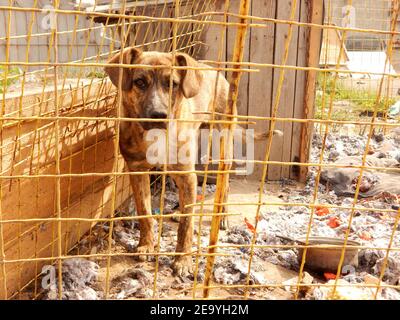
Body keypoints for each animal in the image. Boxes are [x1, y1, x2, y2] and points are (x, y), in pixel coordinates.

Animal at [104, 47, 231, 276]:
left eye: (172, 83)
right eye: (139, 82)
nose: (158, 115)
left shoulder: (187, 175)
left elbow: (187, 225)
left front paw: (182, 259)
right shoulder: (137, 171)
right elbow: (144, 212)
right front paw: (146, 244)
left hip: (223, 143)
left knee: (225, 182)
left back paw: (223, 214)